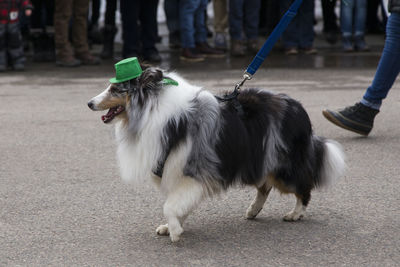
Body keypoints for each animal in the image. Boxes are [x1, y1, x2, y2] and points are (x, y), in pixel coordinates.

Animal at [89, 67, 346, 243]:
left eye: (115, 89)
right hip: (260, 160)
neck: (154, 112)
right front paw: (172, 226)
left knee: (303, 187)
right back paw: (253, 210)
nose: (90, 103)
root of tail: (300, 109)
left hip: (283, 166)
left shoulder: (193, 170)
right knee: (265, 187)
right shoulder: (177, 172)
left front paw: (175, 231)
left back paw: (295, 213)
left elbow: (170, 205)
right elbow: (177, 203)